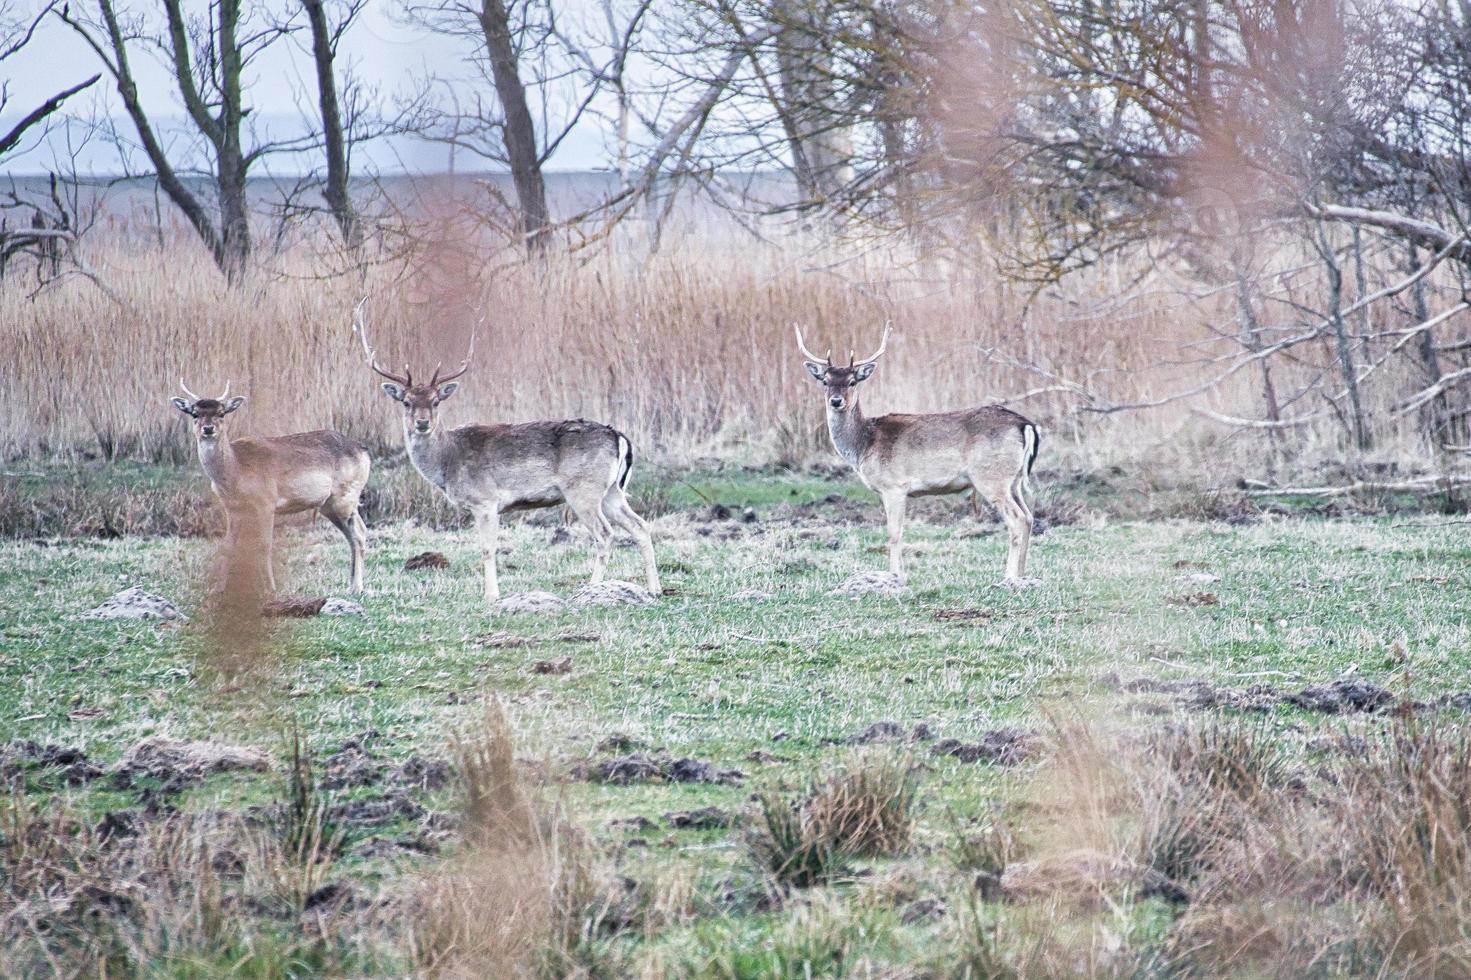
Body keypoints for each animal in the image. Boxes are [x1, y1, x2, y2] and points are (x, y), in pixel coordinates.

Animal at [170, 376, 373, 591]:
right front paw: (218, 589)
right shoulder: (232, 508)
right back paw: (352, 584)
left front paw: (270, 588)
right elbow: (229, 545)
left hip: (346, 495)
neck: (235, 470)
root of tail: (363, 449)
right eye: (194, 413)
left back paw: (357, 587)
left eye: (221, 413)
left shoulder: (266, 501)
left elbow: (264, 545)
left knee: (359, 532)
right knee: (352, 534)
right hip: (329, 504)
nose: (208, 429)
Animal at [353, 301, 659, 600]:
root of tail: (619, 437)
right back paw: (654, 588)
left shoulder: (485, 500)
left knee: (605, 534)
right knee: (640, 526)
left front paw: (491, 596)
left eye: (436, 401)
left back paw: (591, 588)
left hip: (583, 489)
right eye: (406, 402)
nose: (422, 422)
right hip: (612, 491)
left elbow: (487, 548)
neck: (448, 462)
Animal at [794, 323, 1047, 582]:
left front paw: (895, 576)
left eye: (853, 381)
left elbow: (894, 533)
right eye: (825, 381)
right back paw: (1023, 575)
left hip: (990, 477)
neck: (864, 444)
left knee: (1017, 519)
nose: (836, 401)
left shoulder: (894, 485)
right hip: (1013, 480)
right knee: (1028, 516)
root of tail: (1025, 424)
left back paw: (1009, 577)